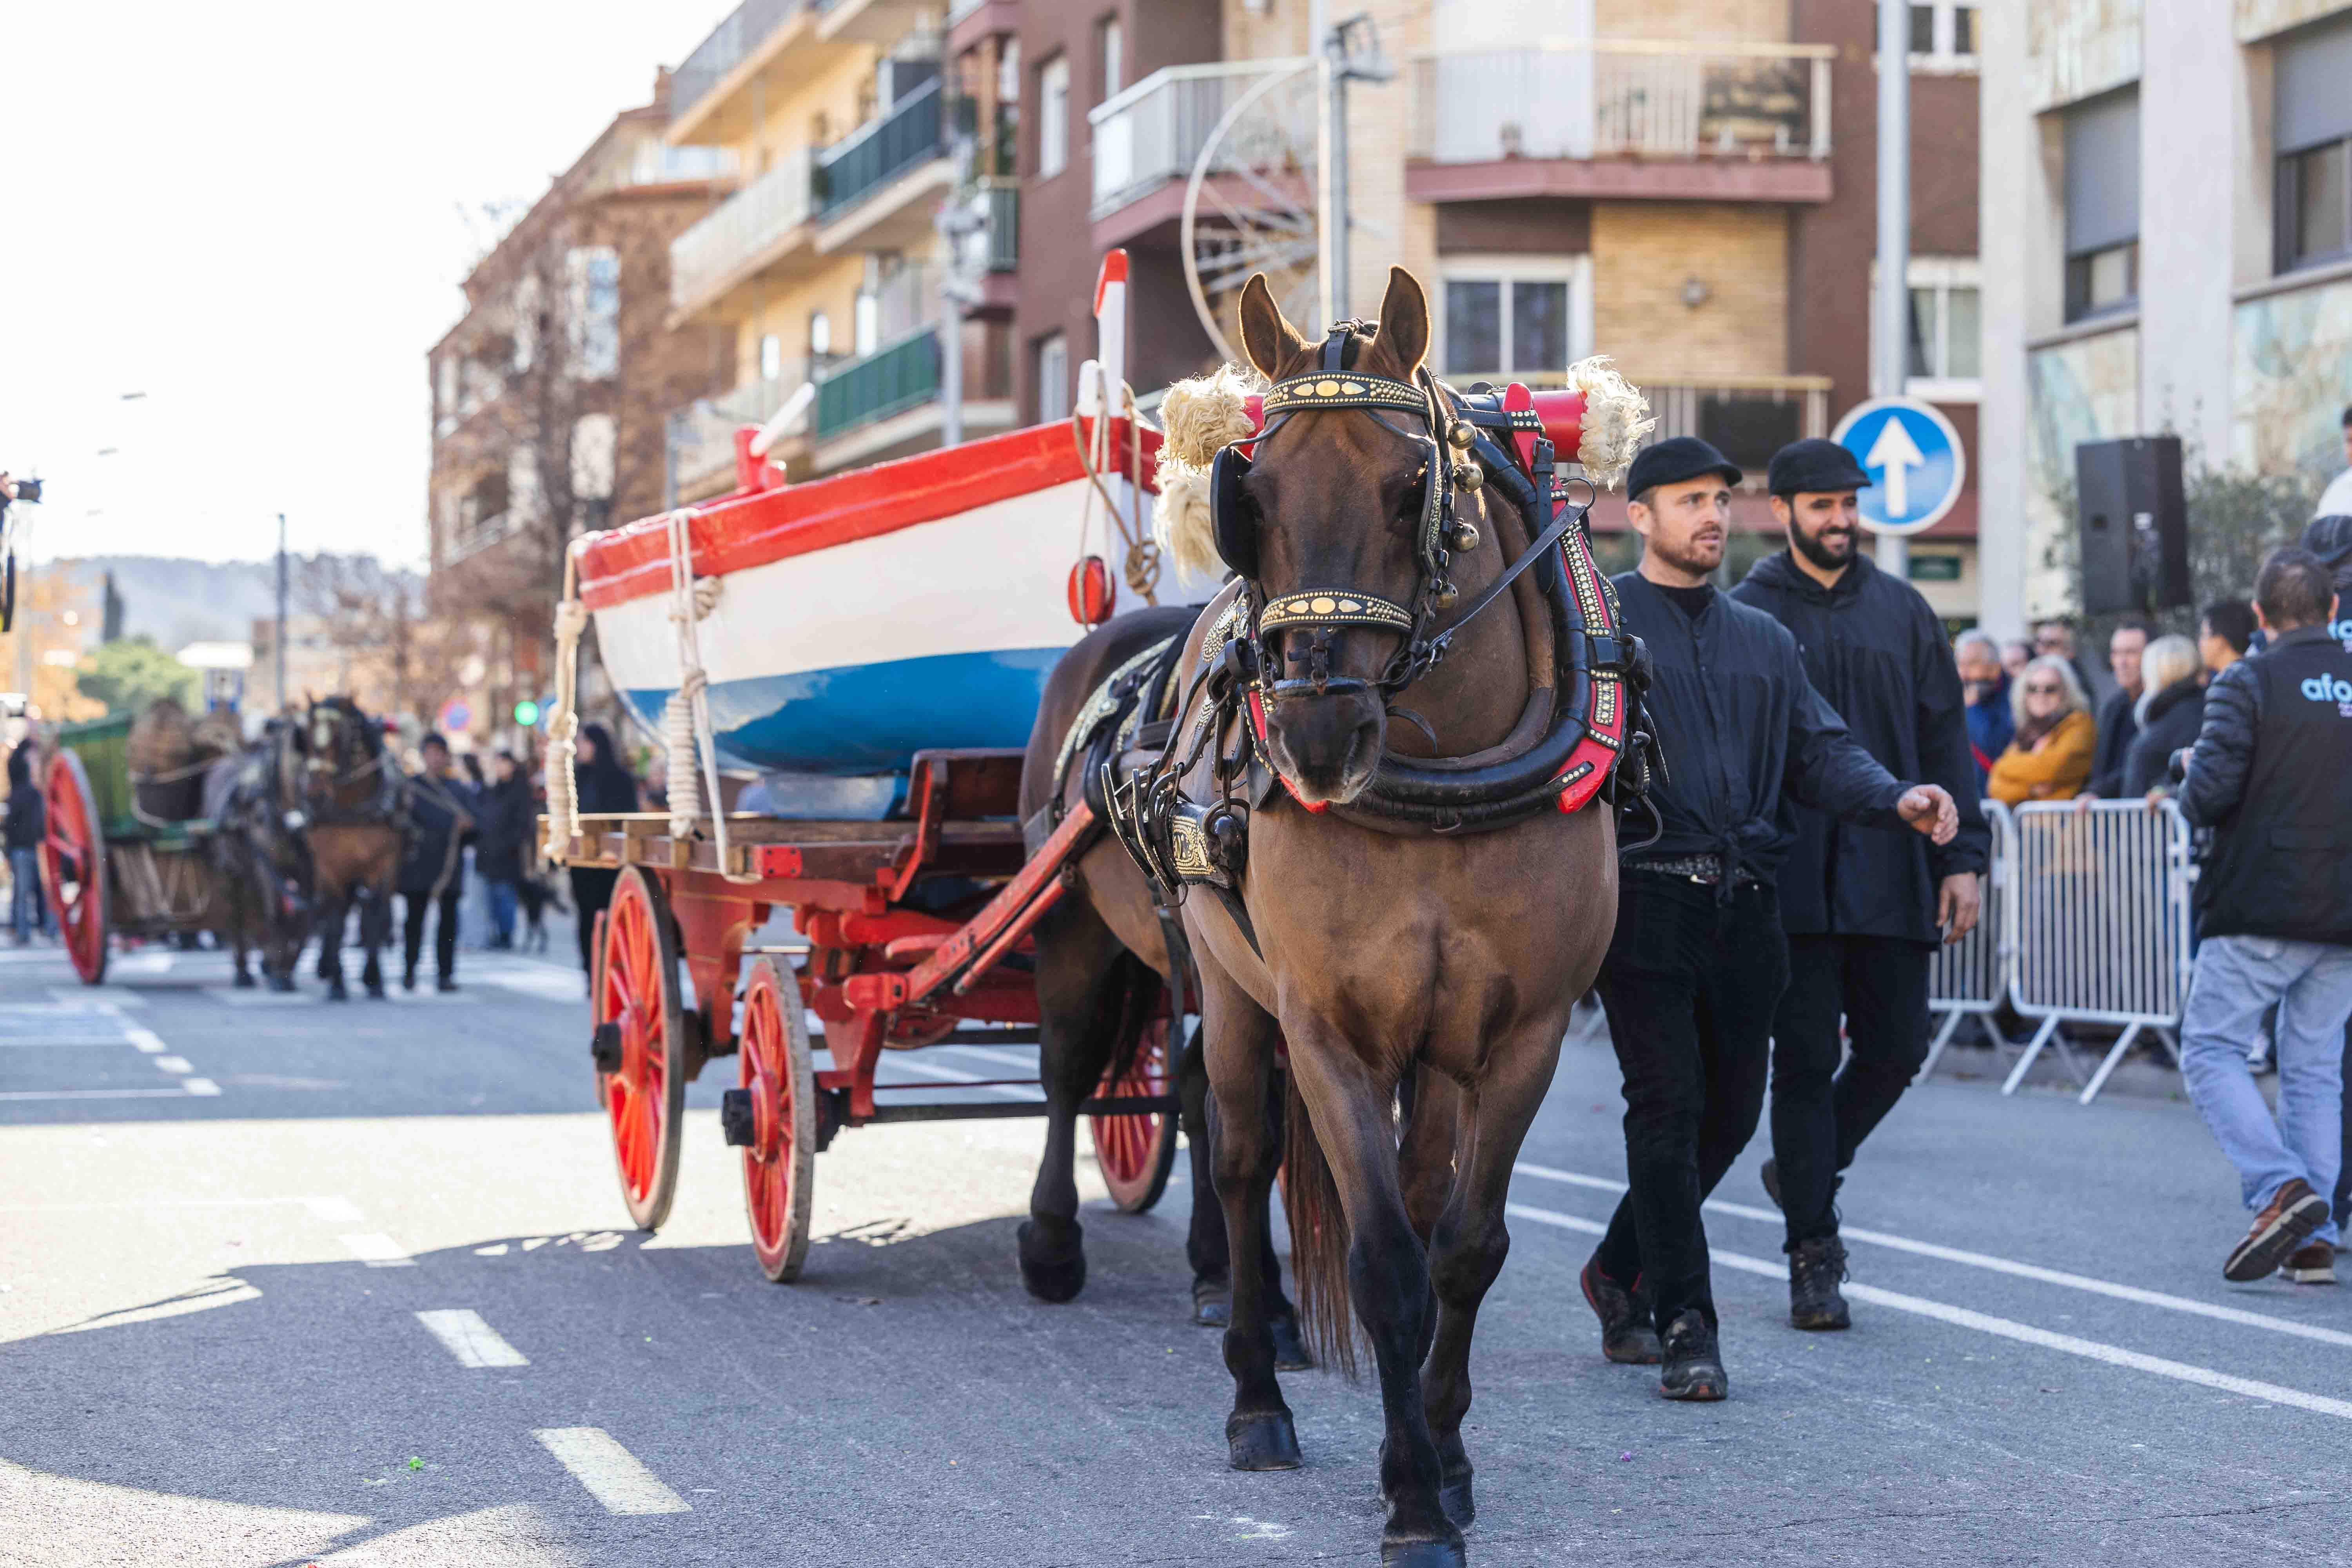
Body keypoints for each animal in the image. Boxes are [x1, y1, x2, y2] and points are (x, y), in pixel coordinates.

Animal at [1044, 263, 1618, 1561]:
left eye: (1411, 488)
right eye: (1247, 493)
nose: (1312, 729)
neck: (1438, 785)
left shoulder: (1515, 1037)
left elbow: (1462, 1246)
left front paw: (1447, 1460)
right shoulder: (1329, 1028)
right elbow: (1383, 1260)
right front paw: (1410, 1502)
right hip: (1146, 958)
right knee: (1183, 1124)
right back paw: (1215, 1359)